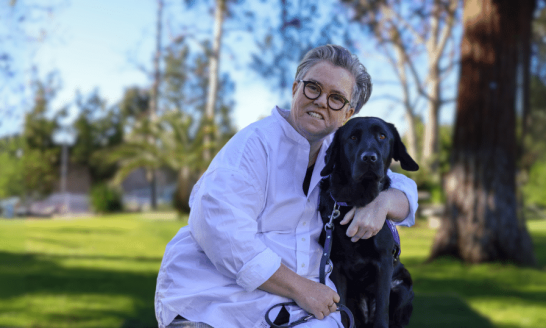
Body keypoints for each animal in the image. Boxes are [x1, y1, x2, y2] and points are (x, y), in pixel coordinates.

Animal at [318, 116, 416, 326]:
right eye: (353, 137)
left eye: (382, 136)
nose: (369, 158)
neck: (357, 200)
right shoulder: (336, 265)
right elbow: (343, 312)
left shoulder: (384, 262)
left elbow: (382, 311)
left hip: (402, 289)